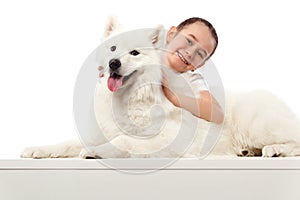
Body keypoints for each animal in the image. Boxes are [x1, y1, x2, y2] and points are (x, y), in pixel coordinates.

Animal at [21, 18, 300, 159]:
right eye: (113, 48)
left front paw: (94, 152)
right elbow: (66, 144)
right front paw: (38, 149)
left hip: (258, 125)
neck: (128, 99)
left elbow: (123, 140)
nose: (113, 63)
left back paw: (274, 150)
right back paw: (248, 152)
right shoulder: (100, 131)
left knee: (294, 141)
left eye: (134, 53)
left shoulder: (167, 138)